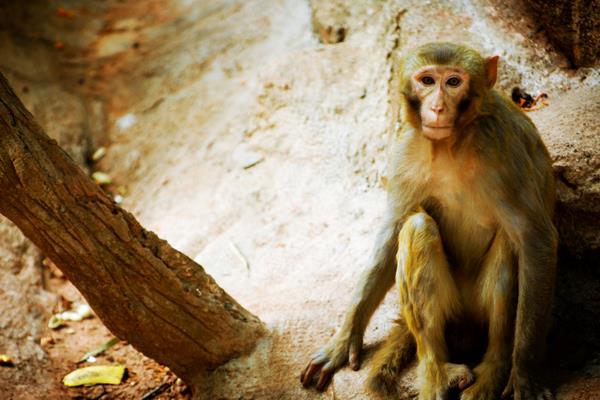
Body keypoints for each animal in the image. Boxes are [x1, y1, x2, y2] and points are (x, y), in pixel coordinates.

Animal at [300, 41, 556, 400]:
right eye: (426, 80)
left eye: (453, 82)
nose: (436, 107)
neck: (451, 143)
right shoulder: (405, 150)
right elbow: (393, 231)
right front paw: (344, 338)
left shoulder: (504, 151)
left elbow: (535, 238)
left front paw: (526, 373)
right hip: (454, 312)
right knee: (417, 228)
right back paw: (437, 372)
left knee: (510, 243)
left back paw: (494, 368)